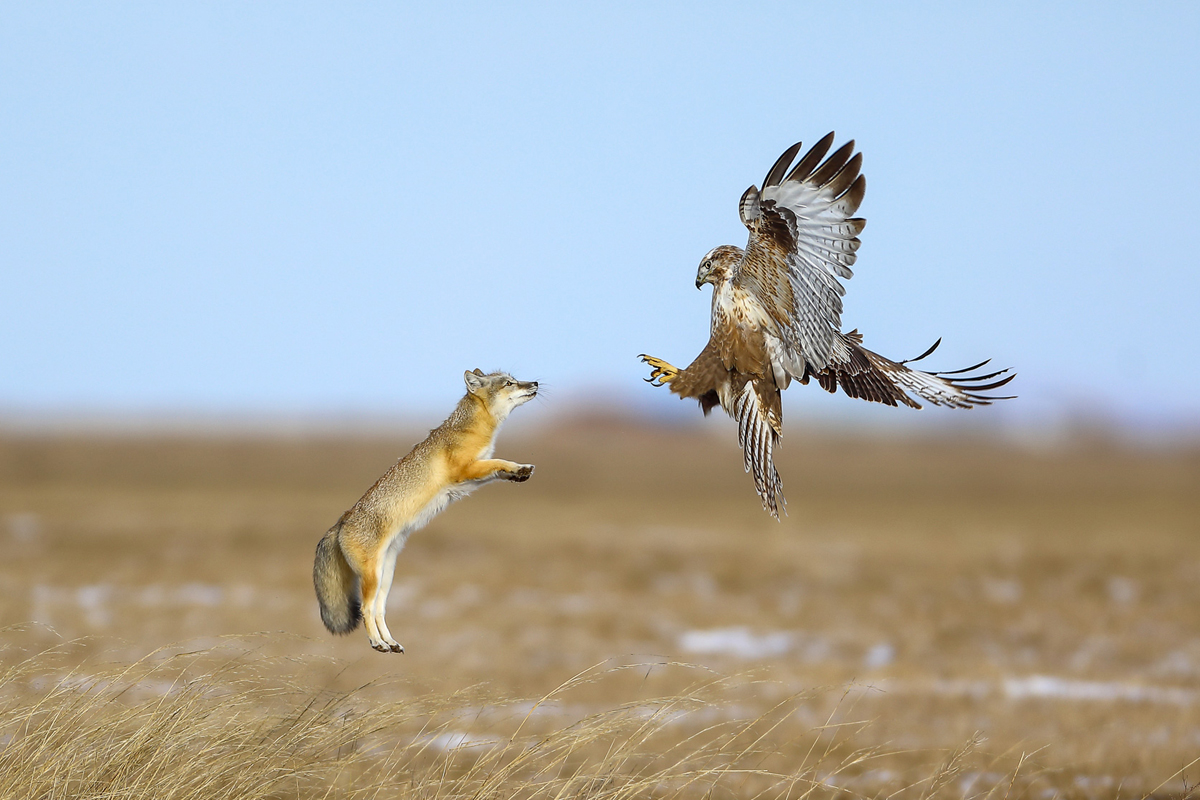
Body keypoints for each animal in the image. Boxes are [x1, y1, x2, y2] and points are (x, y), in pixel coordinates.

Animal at [313, 369, 538, 653]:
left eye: (516, 379)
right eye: (509, 383)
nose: (536, 383)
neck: (470, 428)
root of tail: (341, 521)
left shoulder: (471, 475)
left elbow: (497, 468)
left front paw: (519, 472)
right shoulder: (465, 470)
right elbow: (497, 461)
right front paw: (517, 468)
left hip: (386, 576)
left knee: (379, 610)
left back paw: (390, 642)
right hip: (372, 578)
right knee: (365, 609)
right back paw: (377, 643)